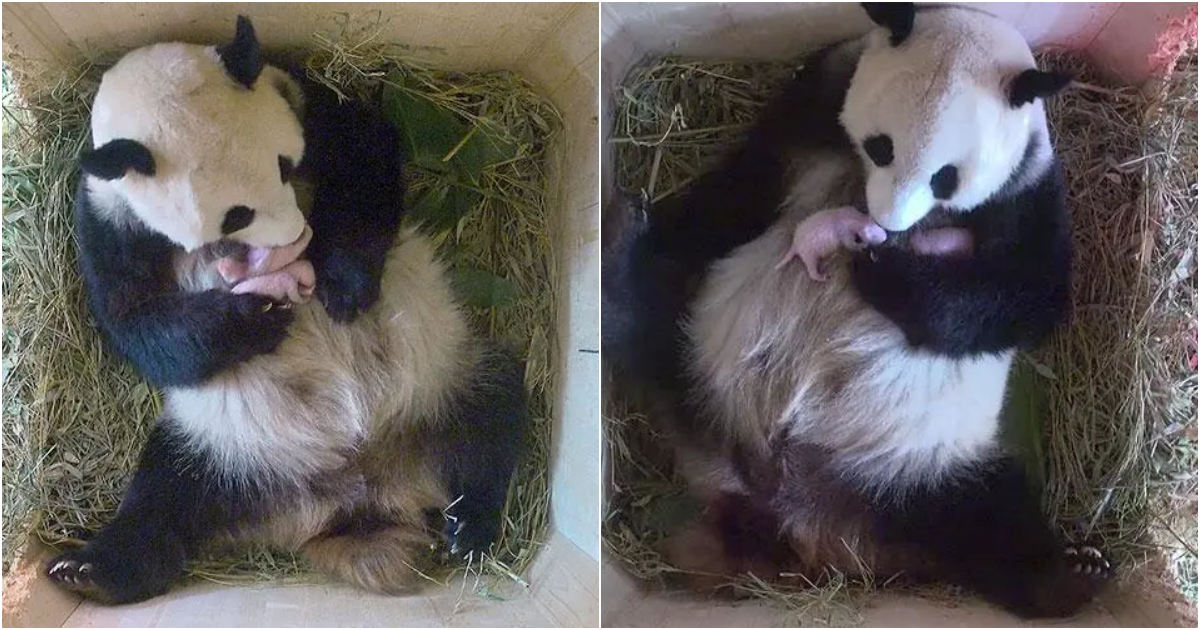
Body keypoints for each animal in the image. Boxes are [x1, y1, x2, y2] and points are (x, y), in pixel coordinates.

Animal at [44, 15, 530, 604]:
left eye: (284, 166)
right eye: (234, 216)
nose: (297, 237)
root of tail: (359, 494)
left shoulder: (297, 96)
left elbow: (363, 152)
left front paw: (341, 283)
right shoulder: (109, 215)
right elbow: (136, 321)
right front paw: (255, 319)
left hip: (441, 376)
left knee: (490, 416)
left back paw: (471, 523)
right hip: (223, 447)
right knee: (164, 501)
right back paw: (92, 570)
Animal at [609, 1, 1113, 619]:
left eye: (947, 177)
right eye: (881, 146)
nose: (885, 225)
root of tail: (782, 510)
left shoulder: (1029, 192)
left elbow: (1026, 295)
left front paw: (882, 270)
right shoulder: (813, 108)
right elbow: (740, 189)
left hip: (914, 468)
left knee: (986, 523)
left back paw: (1068, 574)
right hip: (703, 355)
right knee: (654, 315)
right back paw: (624, 244)